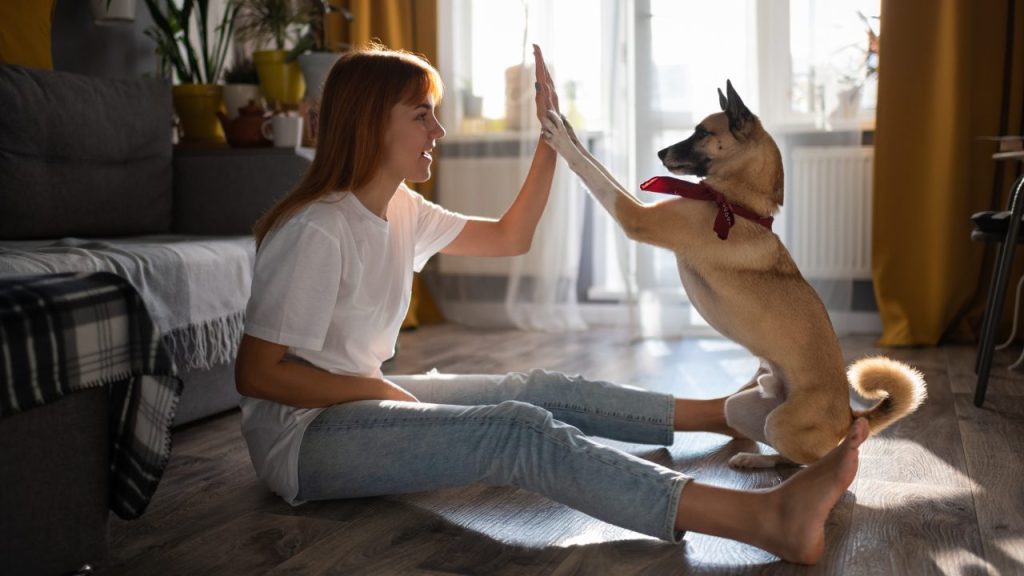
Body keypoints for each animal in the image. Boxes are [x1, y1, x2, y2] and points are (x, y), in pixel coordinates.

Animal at [544, 81, 929, 467]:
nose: (660, 152)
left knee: (803, 461)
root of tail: (850, 416)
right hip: (740, 406)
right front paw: (568, 127)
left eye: (702, 133)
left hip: (782, 424)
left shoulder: (634, 215)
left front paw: (561, 138)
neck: (735, 203)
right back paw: (752, 455)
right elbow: (599, 166)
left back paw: (776, 464)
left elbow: (593, 173)